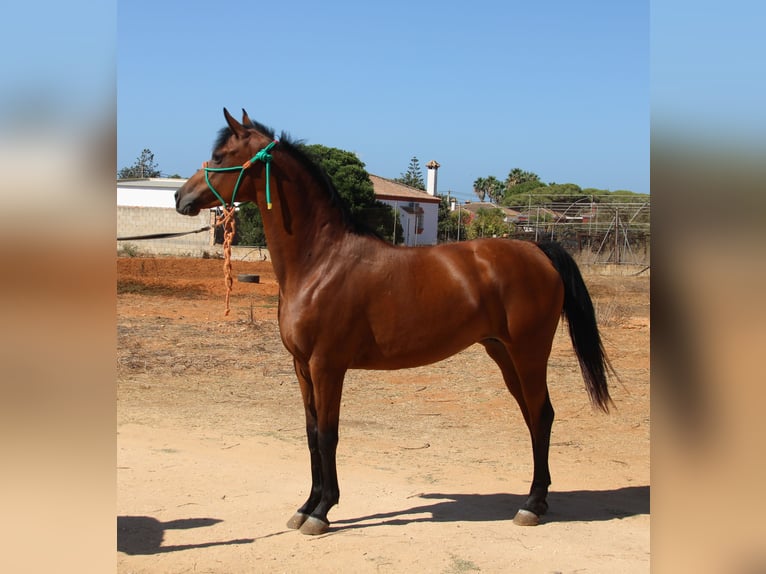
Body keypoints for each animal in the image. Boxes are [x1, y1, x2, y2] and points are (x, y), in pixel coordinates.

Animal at [177, 110, 616, 536]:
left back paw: (531, 505)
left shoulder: (327, 366)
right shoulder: (302, 367)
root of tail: (538, 250)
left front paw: (322, 511)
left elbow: (328, 434)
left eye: (220, 156)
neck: (320, 262)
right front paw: (305, 506)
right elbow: (311, 433)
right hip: (503, 353)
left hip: (529, 354)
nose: (181, 196)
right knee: (532, 416)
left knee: (542, 416)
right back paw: (537, 500)